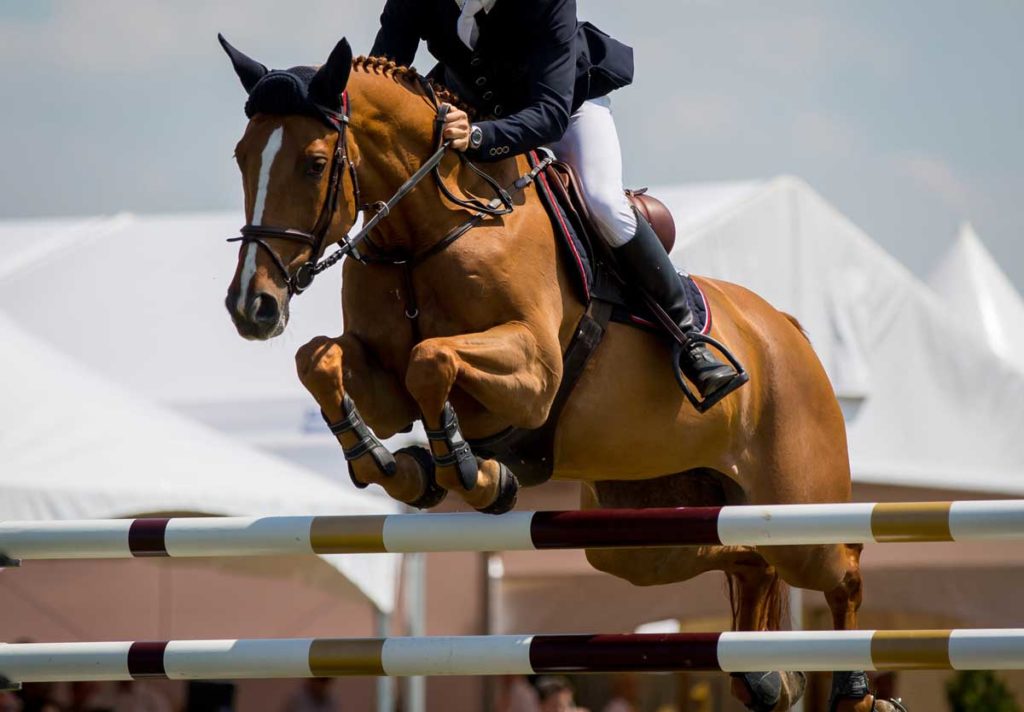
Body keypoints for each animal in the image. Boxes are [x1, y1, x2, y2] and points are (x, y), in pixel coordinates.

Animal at [220, 36, 898, 712]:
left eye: (313, 164)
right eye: (242, 157)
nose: (252, 307)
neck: (430, 233)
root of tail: (787, 330)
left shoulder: (535, 373)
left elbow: (431, 359)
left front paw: (473, 472)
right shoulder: (383, 380)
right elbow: (322, 360)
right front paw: (394, 466)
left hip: (799, 507)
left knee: (842, 568)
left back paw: (857, 691)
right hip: (643, 532)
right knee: (749, 559)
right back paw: (762, 676)